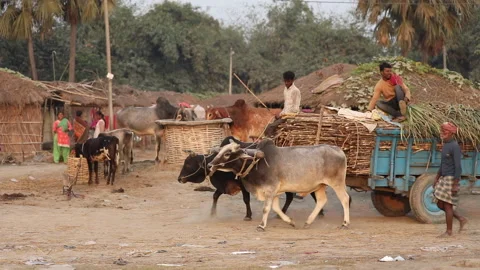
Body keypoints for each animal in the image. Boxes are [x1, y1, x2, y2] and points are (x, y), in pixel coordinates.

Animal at [208, 138, 350, 231]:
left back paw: (345, 223)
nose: (210, 165)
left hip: (337, 183)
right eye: (219, 152)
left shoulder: (270, 189)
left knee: (345, 199)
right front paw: (291, 222)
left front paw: (261, 225)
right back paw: (308, 222)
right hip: (320, 186)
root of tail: (338, 149)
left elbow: (266, 208)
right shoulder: (275, 192)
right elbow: (276, 208)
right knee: (321, 201)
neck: (257, 163)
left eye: (227, 154)